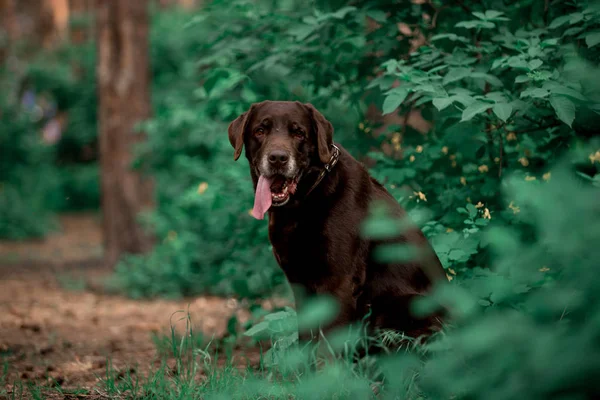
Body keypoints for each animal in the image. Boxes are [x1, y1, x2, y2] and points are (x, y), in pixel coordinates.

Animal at [230, 101, 446, 342]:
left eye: (299, 133)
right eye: (260, 131)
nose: (278, 158)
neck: (304, 201)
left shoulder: (338, 283)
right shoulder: (300, 284)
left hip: (404, 304)